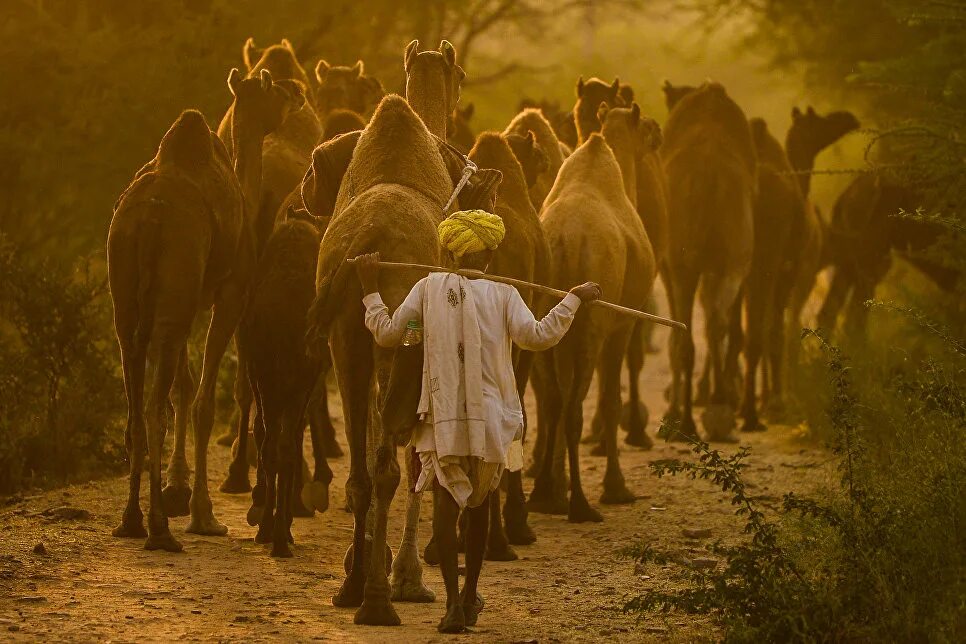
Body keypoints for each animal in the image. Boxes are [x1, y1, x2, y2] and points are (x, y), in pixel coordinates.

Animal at [528, 102, 656, 524]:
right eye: (646, 128)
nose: (657, 135)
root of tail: (567, 240)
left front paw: (557, 482)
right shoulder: (622, 324)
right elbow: (612, 401)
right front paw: (617, 488)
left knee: (553, 400)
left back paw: (544, 495)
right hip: (591, 326)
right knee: (573, 406)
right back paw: (581, 505)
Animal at [660, 82, 760, 442]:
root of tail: (711, 173)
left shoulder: (670, 266)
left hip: (687, 263)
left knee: (686, 335)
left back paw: (688, 421)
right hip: (735, 256)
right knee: (716, 322)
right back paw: (718, 406)